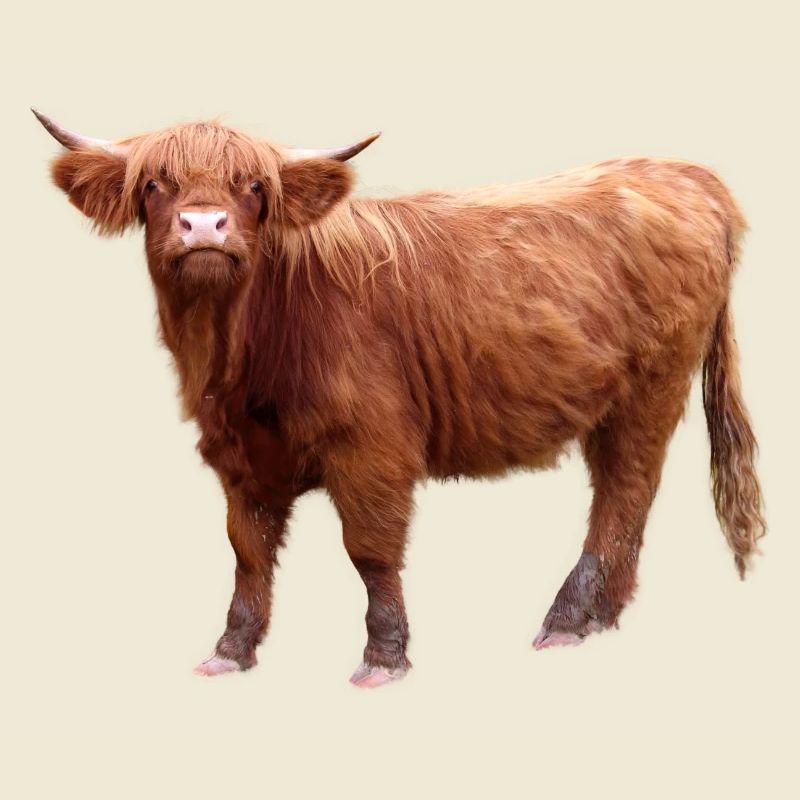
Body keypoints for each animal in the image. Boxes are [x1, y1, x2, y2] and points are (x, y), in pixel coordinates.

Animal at [34, 109, 765, 687]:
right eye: (154, 184)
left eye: (255, 187)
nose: (204, 226)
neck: (240, 357)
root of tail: (687, 173)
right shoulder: (240, 456)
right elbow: (248, 552)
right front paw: (231, 650)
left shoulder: (372, 447)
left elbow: (371, 549)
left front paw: (384, 657)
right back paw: (599, 617)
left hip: (651, 390)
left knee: (624, 493)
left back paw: (567, 618)